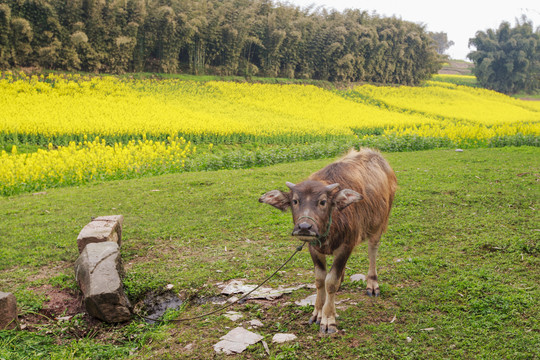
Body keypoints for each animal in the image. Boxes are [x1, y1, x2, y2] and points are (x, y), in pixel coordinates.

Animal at [260, 148, 394, 334]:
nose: (304, 227)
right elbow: (320, 280)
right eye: (295, 201)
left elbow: (331, 281)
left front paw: (328, 318)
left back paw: (372, 284)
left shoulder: (346, 246)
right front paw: (317, 312)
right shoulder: (313, 247)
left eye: (323, 201)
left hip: (379, 224)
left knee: (372, 250)